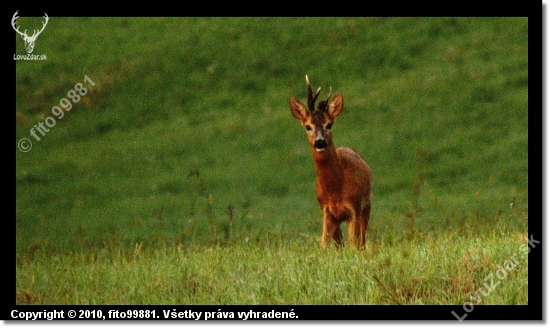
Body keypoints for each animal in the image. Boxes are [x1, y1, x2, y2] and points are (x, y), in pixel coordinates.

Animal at [288, 75, 376, 249]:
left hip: (367, 205)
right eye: (308, 126)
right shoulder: (327, 211)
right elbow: (323, 245)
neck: (335, 189)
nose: (320, 142)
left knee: (361, 242)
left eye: (329, 124)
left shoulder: (354, 208)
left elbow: (353, 244)